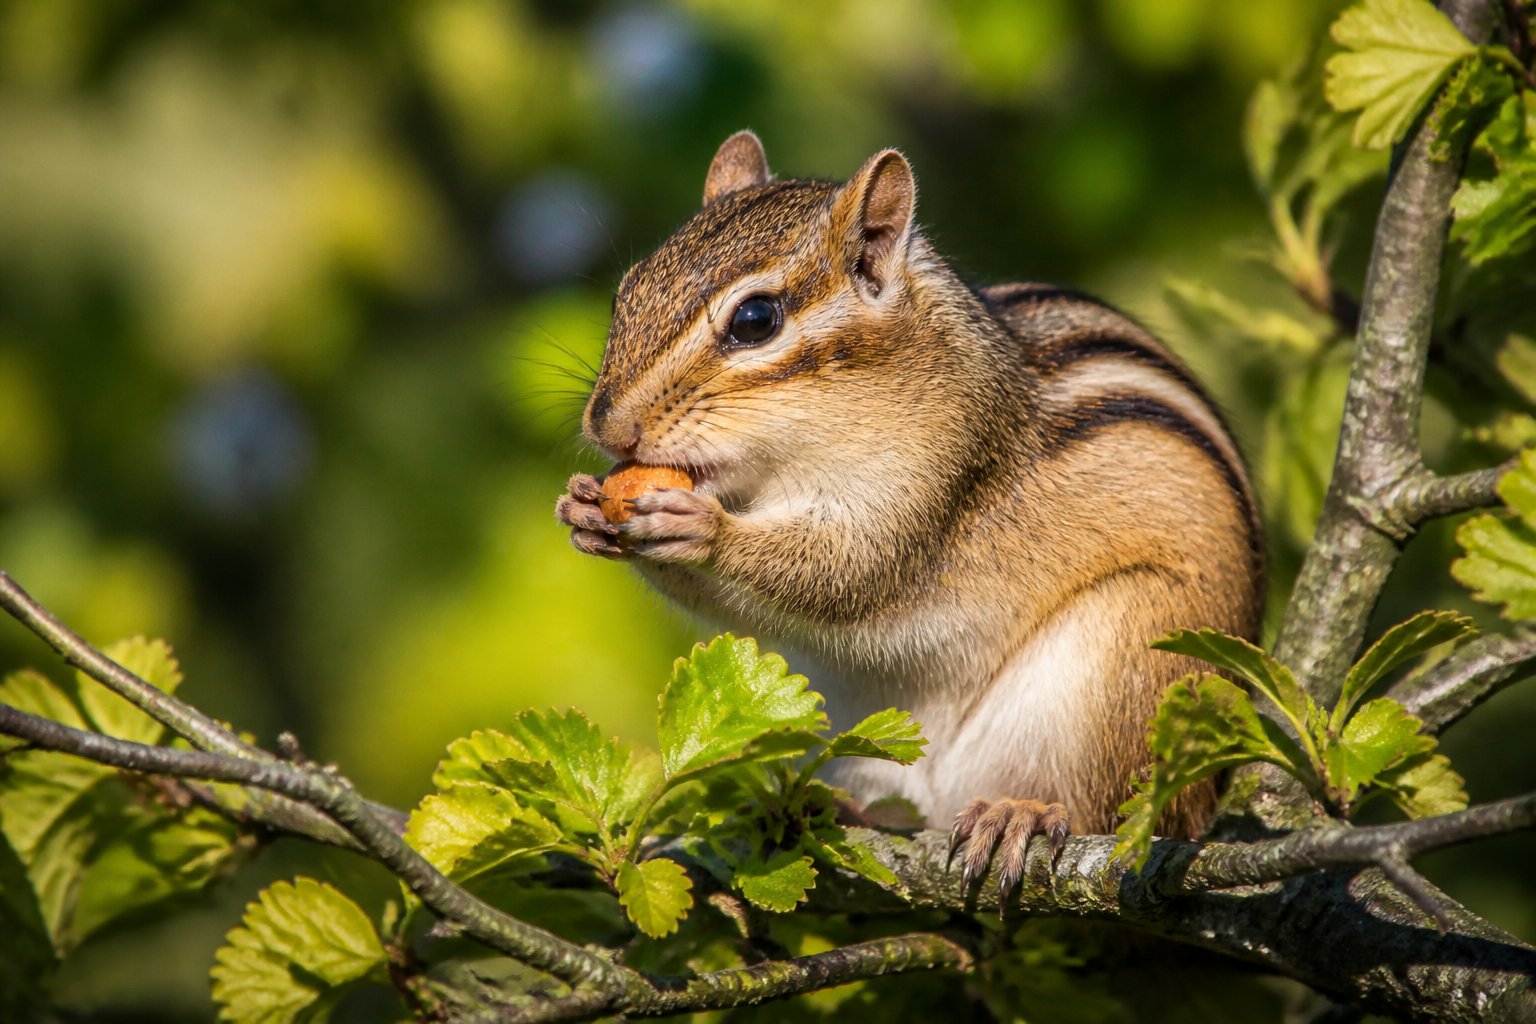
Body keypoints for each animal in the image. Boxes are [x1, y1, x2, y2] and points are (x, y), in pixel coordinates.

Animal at [556, 131, 1264, 893]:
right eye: (627, 291)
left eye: (755, 320)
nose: (608, 425)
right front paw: (583, 508)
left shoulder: (935, 482)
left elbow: (850, 572)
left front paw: (701, 528)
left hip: (1127, 671)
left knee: (1109, 812)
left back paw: (1019, 812)